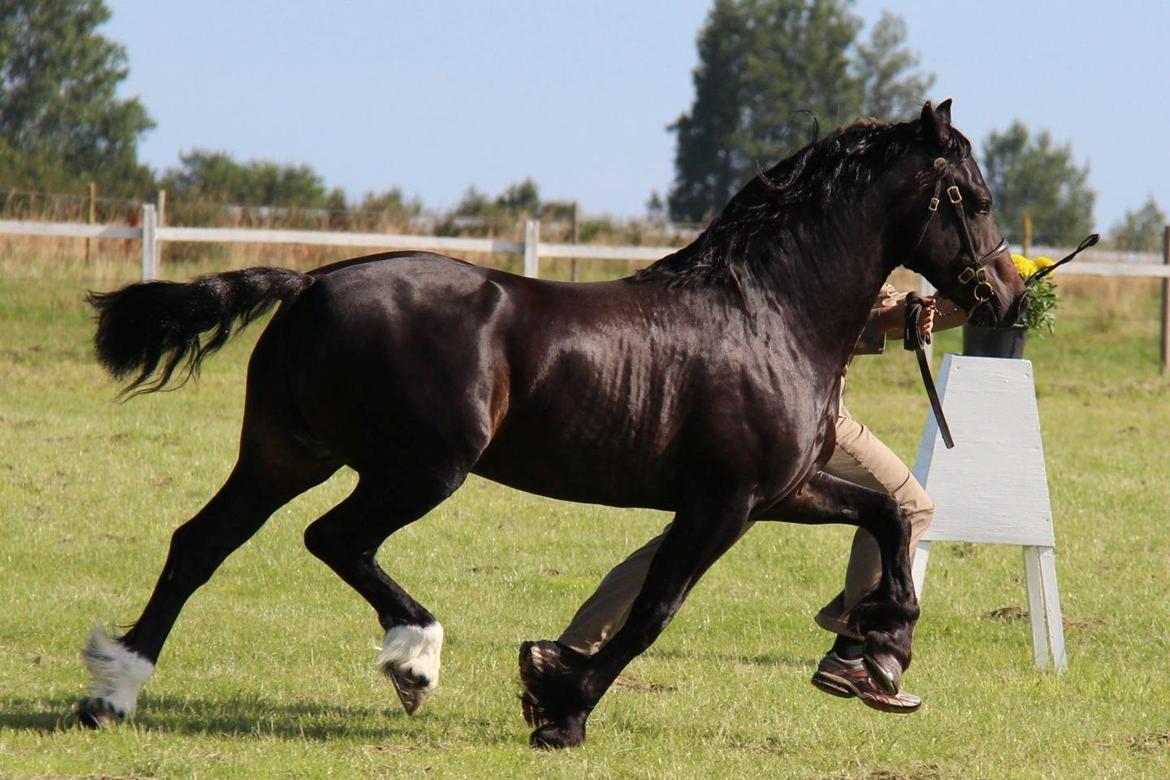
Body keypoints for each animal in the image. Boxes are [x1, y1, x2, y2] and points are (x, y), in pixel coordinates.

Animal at [77, 100, 1024, 748]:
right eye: (970, 196)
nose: (1006, 295)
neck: (769, 313)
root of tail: (311, 283)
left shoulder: (781, 491)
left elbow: (888, 513)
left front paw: (883, 650)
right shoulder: (725, 503)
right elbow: (653, 611)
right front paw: (557, 706)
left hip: (287, 453)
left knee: (200, 545)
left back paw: (112, 693)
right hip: (421, 468)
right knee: (333, 539)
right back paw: (415, 661)